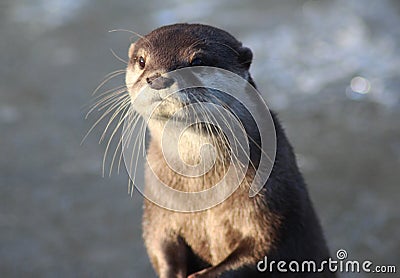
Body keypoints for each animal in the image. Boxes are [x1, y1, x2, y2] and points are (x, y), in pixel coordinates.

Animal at [123, 23, 332, 276]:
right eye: (142, 61)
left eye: (197, 60)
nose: (157, 79)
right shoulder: (158, 213)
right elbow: (160, 247)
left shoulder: (275, 203)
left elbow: (264, 250)